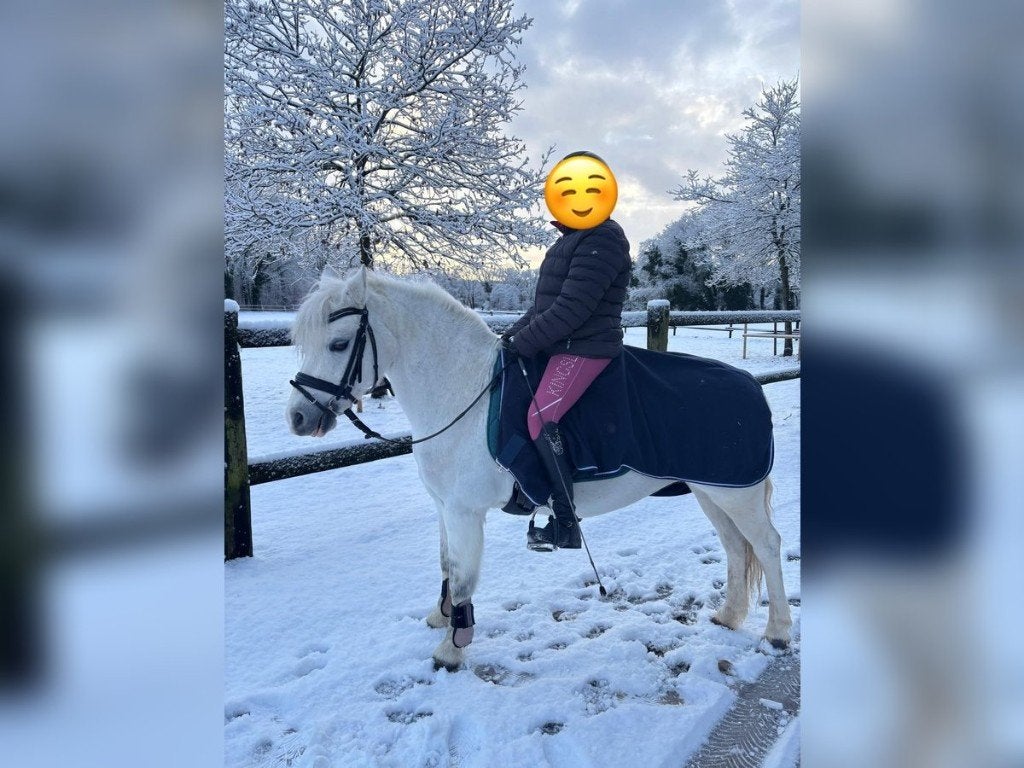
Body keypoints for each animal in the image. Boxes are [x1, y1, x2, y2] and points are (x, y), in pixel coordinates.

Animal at [286, 267, 792, 670]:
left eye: (338, 343)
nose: (298, 418)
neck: (464, 391)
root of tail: (752, 386)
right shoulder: (444, 508)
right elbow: (447, 565)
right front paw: (441, 617)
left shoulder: (465, 512)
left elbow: (464, 577)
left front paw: (453, 647)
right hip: (712, 491)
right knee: (735, 547)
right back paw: (728, 617)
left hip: (737, 494)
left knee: (766, 545)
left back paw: (778, 631)